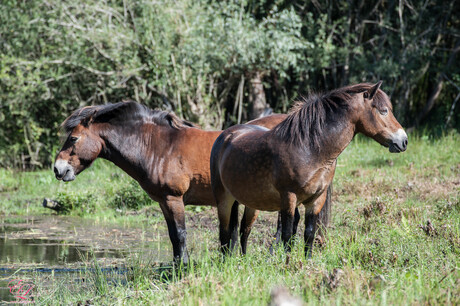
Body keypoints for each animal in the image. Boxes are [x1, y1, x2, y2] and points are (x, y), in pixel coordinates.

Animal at [54, 103, 332, 262]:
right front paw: (176, 266)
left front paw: (184, 267)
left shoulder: (174, 199)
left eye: (74, 139)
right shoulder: (164, 202)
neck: (159, 146)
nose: (58, 169)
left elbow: (180, 233)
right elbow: (172, 235)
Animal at [210, 80, 408, 256]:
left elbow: (309, 234)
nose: (404, 141)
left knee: (244, 229)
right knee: (225, 232)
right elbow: (287, 235)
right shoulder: (289, 198)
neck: (310, 148)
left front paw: (307, 263)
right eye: (383, 111)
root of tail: (227, 135)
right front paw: (287, 264)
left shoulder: (316, 199)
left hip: (249, 200)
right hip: (224, 199)